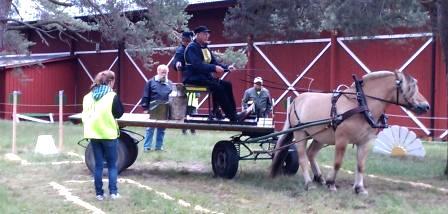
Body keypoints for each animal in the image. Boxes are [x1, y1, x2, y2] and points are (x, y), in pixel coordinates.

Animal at [270, 71, 430, 195]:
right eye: (410, 88)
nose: (426, 106)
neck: (360, 105)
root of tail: (296, 100)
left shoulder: (365, 142)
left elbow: (360, 165)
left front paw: (359, 188)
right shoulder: (342, 139)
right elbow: (337, 163)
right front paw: (331, 183)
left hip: (320, 136)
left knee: (311, 153)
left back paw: (319, 178)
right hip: (300, 133)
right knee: (303, 157)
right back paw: (309, 183)